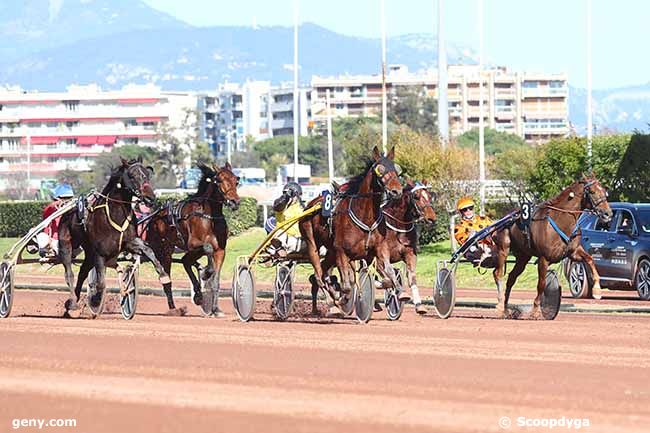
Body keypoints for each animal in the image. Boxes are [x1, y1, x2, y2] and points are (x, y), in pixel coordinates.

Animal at [57, 157, 172, 316]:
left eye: (147, 175)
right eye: (132, 176)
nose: (150, 198)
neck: (115, 215)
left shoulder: (128, 242)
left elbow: (148, 250)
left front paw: (163, 274)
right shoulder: (99, 253)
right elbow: (100, 282)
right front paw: (95, 300)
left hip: (89, 252)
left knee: (82, 272)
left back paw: (72, 303)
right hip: (66, 244)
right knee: (69, 273)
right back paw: (73, 303)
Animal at [144, 161, 240, 314]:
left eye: (236, 180)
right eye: (219, 180)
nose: (234, 202)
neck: (209, 217)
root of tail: (154, 217)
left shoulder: (220, 250)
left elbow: (216, 281)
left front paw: (215, 309)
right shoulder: (193, 244)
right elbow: (208, 248)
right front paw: (206, 273)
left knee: (185, 261)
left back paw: (198, 296)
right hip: (163, 251)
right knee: (167, 278)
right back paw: (173, 309)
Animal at [300, 145, 402, 314]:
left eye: (396, 169)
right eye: (380, 170)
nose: (396, 191)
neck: (365, 217)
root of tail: (310, 203)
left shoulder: (378, 250)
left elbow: (389, 278)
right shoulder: (341, 251)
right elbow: (347, 287)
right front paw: (342, 298)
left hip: (331, 251)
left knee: (322, 273)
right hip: (312, 242)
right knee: (318, 275)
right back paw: (329, 300)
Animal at [494, 174, 612, 318]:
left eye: (604, 191)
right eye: (592, 191)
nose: (608, 213)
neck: (561, 221)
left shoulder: (573, 252)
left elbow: (590, 259)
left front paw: (596, 290)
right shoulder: (544, 259)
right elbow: (541, 284)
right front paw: (536, 310)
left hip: (523, 257)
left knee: (511, 277)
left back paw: (506, 308)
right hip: (503, 248)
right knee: (498, 274)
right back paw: (500, 305)